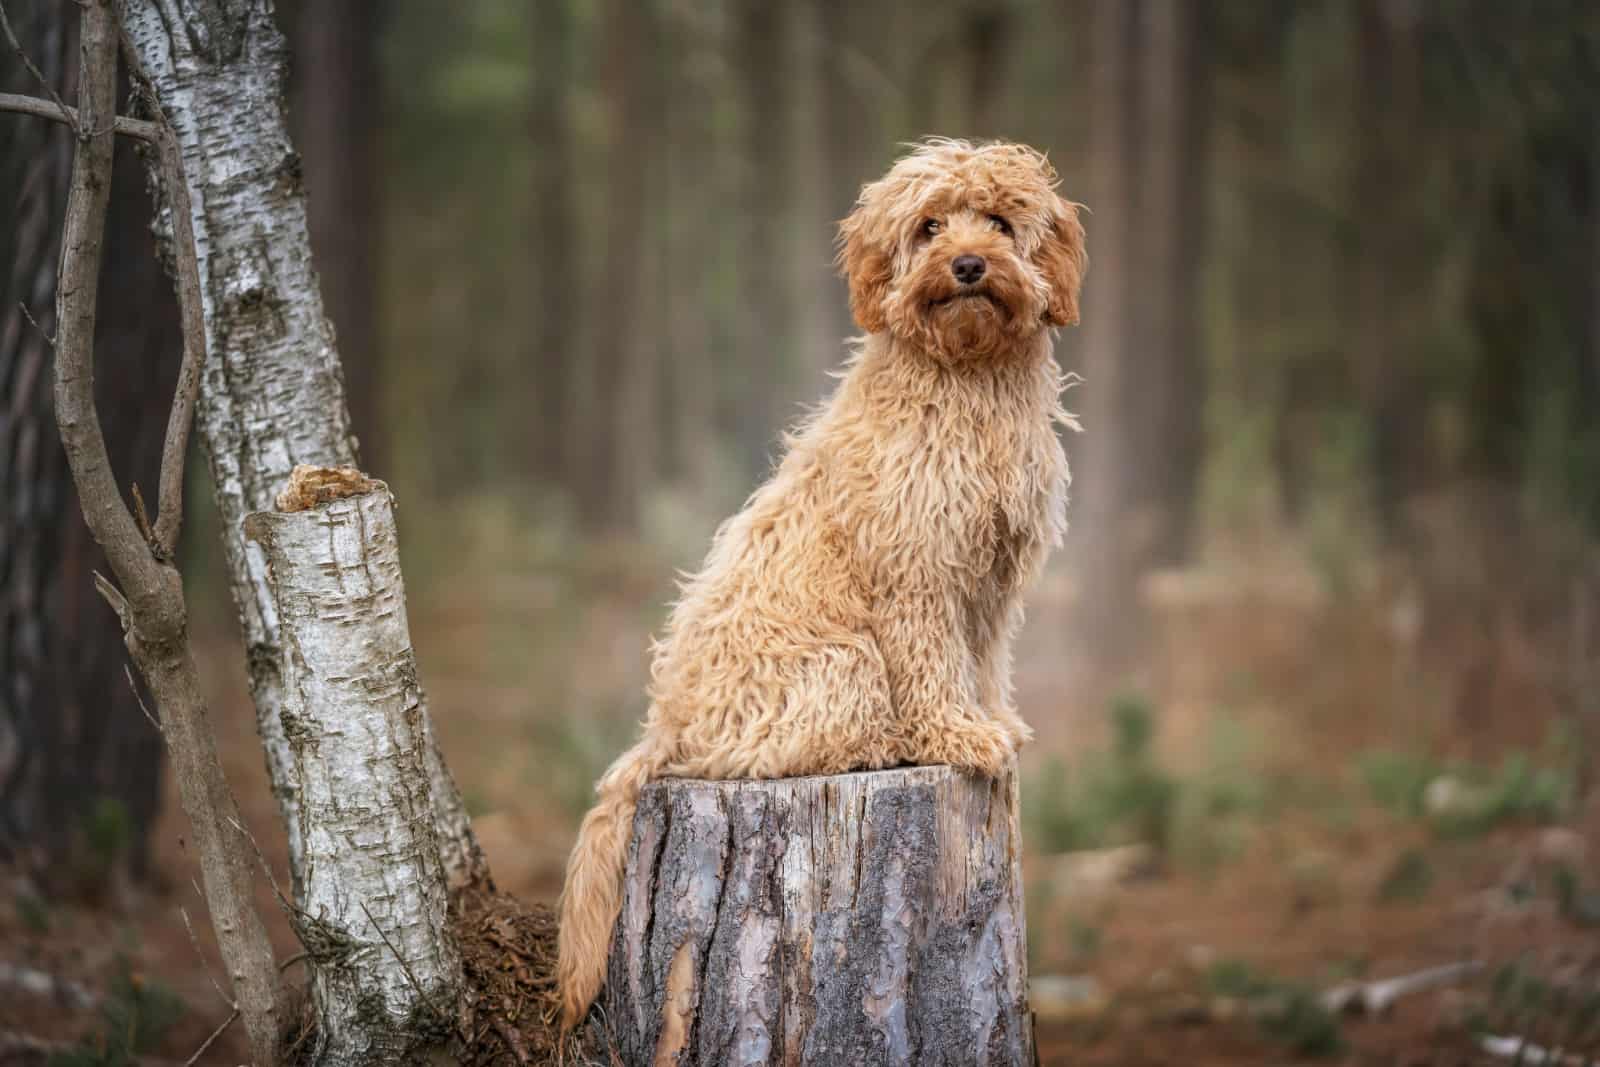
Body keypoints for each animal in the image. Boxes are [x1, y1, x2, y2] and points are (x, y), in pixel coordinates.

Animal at [553, 137, 1088, 1030]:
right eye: (929, 225)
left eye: (1000, 220)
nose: (968, 264)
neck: (967, 380)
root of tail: (664, 727)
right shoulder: (916, 567)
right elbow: (933, 661)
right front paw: (956, 733)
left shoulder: (991, 577)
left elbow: (982, 659)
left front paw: (995, 722)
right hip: (842, 664)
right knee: (778, 748)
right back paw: (881, 741)